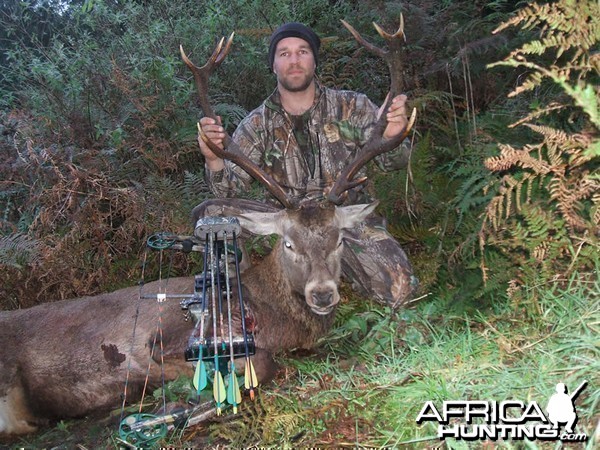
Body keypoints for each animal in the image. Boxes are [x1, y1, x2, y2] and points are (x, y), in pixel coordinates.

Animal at [0, 18, 412, 436]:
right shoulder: (163, 336)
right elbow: (260, 363)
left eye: (339, 239)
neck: (273, 319)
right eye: (289, 243)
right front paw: (182, 407)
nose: (323, 294)